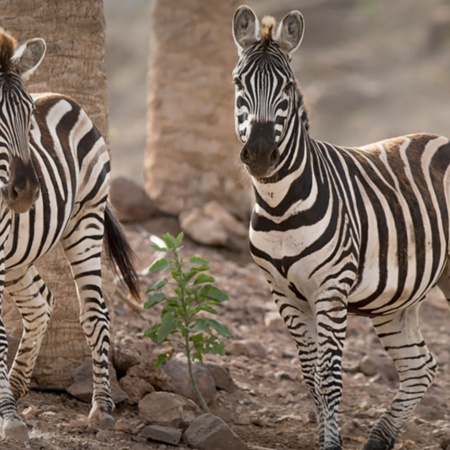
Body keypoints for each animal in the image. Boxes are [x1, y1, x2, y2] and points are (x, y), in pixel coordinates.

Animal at [0, 29, 139, 440]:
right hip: (17, 252)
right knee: (40, 302)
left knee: (95, 312)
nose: (26, 191)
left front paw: (9, 418)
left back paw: (101, 410)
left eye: (28, 115)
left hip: (86, 219)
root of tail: (62, 97)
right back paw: (15, 387)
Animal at [234, 6, 450, 450]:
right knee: (421, 366)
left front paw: (331, 443)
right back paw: (379, 439)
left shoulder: (331, 289)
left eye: (288, 86)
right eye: (238, 83)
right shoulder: (284, 295)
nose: (261, 154)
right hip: (396, 299)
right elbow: (310, 377)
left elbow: (330, 379)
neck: (280, 206)